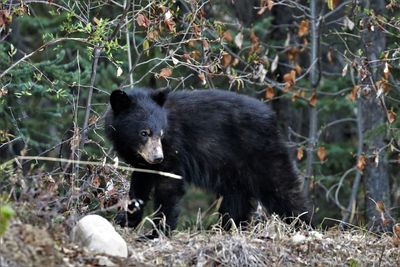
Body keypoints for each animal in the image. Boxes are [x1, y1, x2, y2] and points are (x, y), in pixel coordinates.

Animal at [106, 88, 312, 237]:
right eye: (144, 133)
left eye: (161, 133)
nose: (158, 158)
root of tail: (271, 116)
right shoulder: (142, 161)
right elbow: (139, 184)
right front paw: (126, 219)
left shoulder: (174, 148)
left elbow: (169, 186)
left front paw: (157, 232)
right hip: (234, 168)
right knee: (236, 198)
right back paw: (229, 227)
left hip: (260, 152)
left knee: (282, 186)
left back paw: (303, 225)